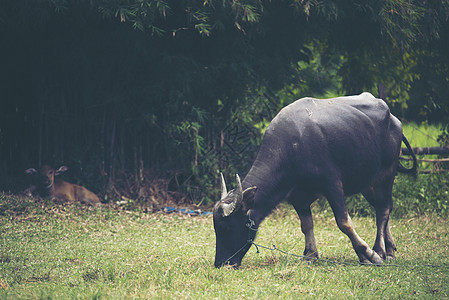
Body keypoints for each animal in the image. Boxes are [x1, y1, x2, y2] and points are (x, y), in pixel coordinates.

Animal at [214, 92, 416, 268]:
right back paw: (390, 249)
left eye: (226, 228)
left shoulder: (333, 185)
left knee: (383, 210)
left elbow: (344, 223)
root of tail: (394, 120)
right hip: (368, 182)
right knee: (383, 208)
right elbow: (306, 225)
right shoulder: (298, 197)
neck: (294, 147)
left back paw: (380, 250)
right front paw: (310, 255)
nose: (221, 263)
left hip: (387, 174)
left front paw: (367, 255)